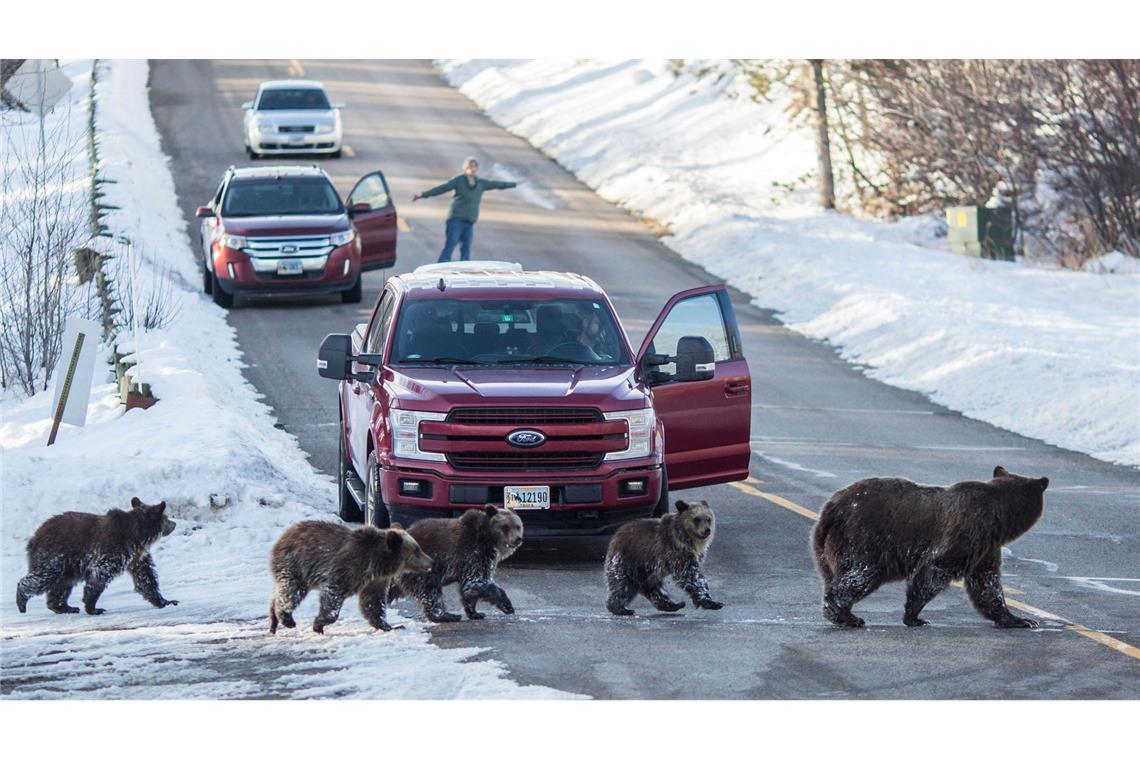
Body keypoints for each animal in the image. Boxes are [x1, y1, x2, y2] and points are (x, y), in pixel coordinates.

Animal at [14, 499, 178, 619]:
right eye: (166, 517)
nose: (174, 523)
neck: (137, 535)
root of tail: (34, 537)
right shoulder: (114, 548)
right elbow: (100, 573)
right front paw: (93, 607)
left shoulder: (136, 557)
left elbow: (146, 578)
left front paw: (166, 601)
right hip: (55, 556)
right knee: (43, 578)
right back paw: (22, 600)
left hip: (68, 566)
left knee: (62, 585)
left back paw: (65, 607)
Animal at [264, 519, 433, 633]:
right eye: (417, 551)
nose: (431, 561)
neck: (377, 562)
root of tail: (283, 536)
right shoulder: (347, 568)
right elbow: (333, 595)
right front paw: (319, 624)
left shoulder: (375, 581)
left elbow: (373, 602)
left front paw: (389, 625)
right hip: (296, 565)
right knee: (292, 592)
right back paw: (287, 619)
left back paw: (273, 621)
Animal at [383, 505, 524, 624]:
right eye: (506, 526)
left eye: (518, 526)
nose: (518, 539)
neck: (488, 540)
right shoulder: (472, 553)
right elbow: (476, 582)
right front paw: (508, 605)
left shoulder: (482, 559)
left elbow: (470, 589)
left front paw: (475, 612)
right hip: (422, 569)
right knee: (430, 592)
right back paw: (447, 615)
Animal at [811, 467, 1048, 628]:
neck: (1000, 518)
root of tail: (832, 508)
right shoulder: (968, 532)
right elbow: (935, 570)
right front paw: (915, 616)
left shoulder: (986, 548)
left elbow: (987, 583)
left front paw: (1018, 619)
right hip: (864, 538)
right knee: (861, 574)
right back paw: (846, 615)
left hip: (825, 548)